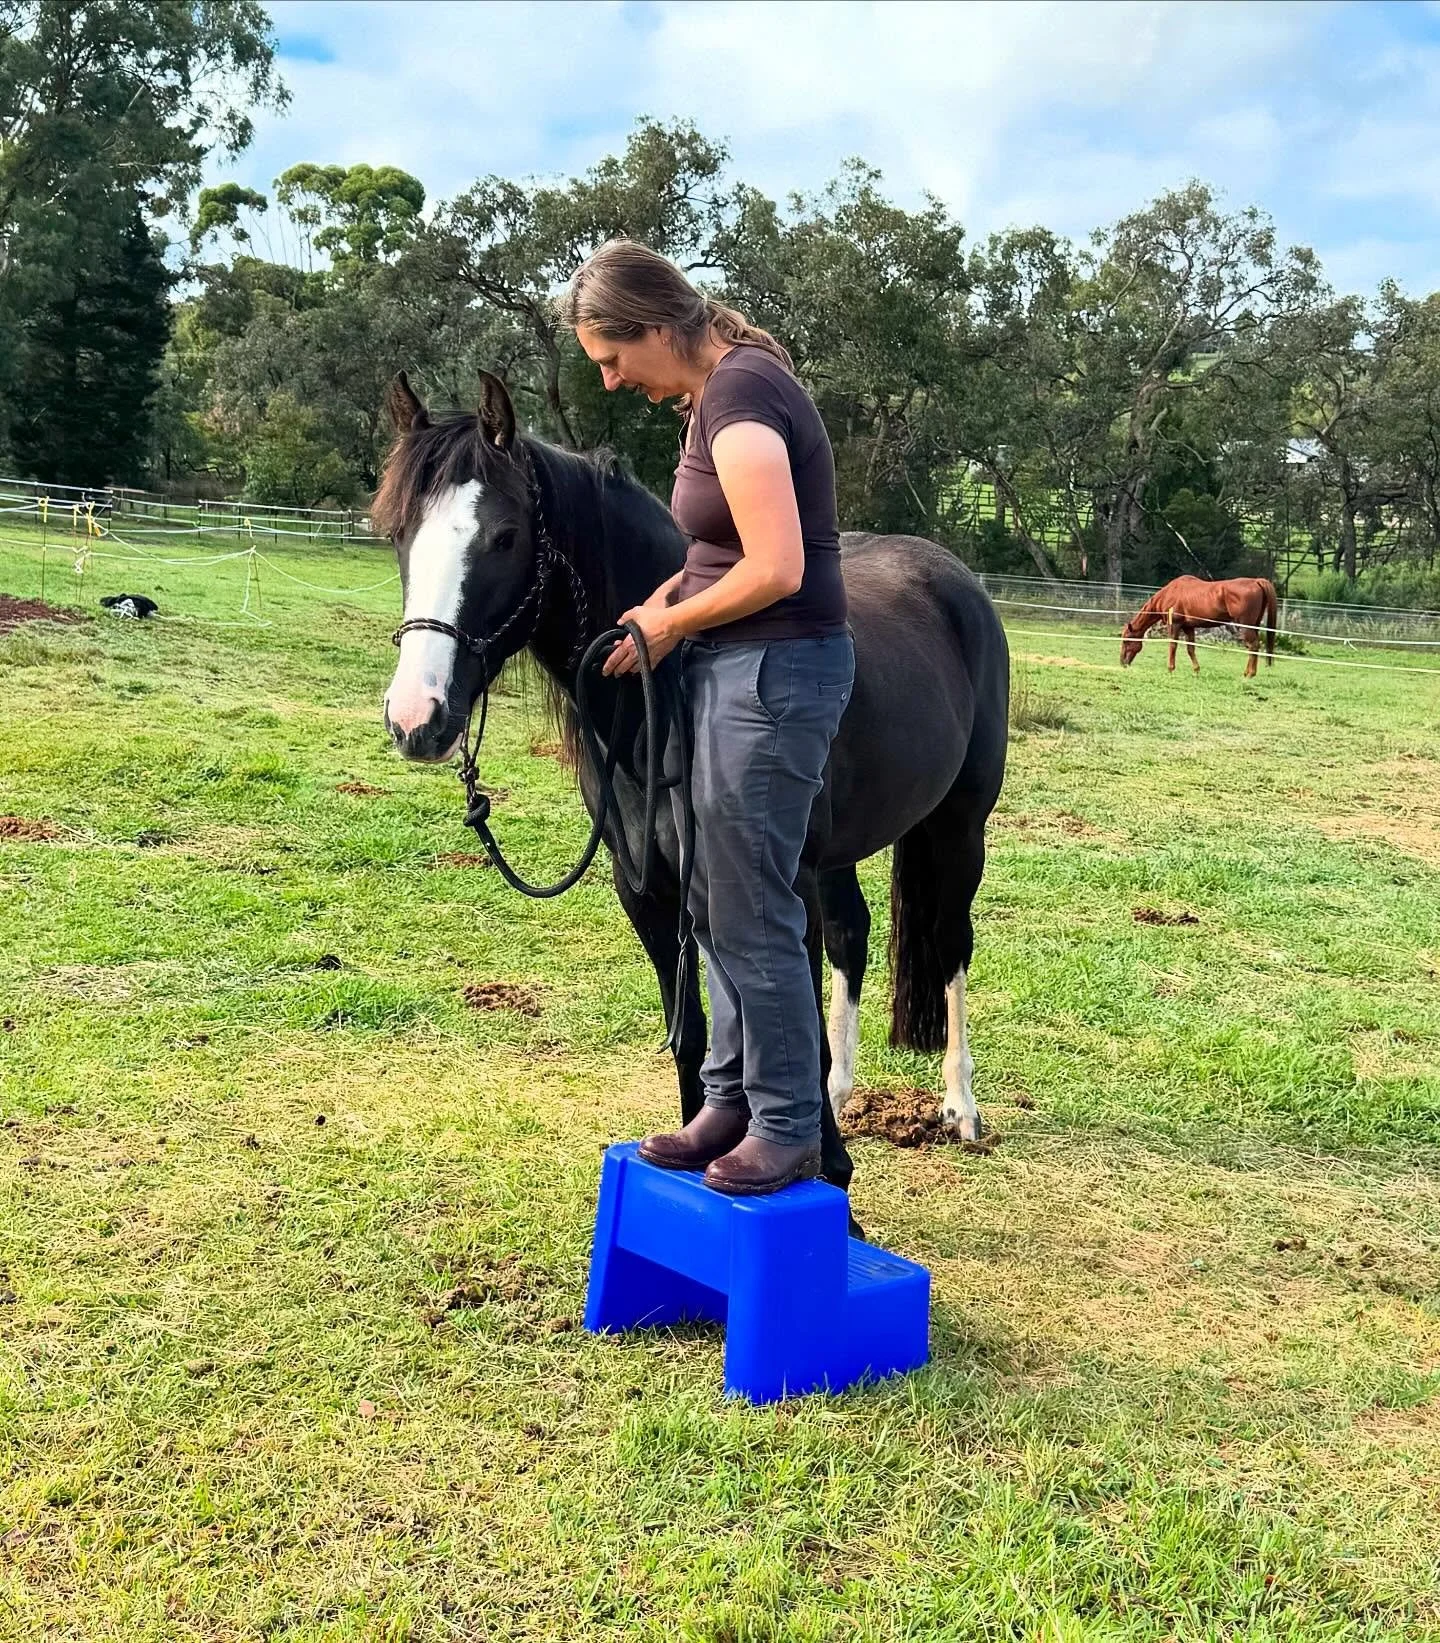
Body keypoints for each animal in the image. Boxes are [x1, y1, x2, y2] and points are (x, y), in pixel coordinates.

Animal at [376, 371, 1009, 1197]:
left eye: (504, 536)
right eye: (398, 534)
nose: (416, 718)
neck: (664, 704)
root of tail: (954, 578)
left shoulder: (773, 887)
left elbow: (787, 1019)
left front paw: (826, 1175)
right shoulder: (649, 890)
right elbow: (698, 1034)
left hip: (960, 827)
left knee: (952, 942)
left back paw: (960, 1106)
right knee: (854, 935)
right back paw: (843, 1087)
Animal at [1120, 575, 1278, 678]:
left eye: (1127, 640)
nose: (1122, 663)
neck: (1169, 594)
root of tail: (1256, 581)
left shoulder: (1175, 625)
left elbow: (1172, 646)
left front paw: (1170, 669)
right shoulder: (1188, 627)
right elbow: (1191, 649)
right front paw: (1196, 670)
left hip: (1245, 625)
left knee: (1253, 646)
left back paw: (1250, 674)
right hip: (1253, 626)